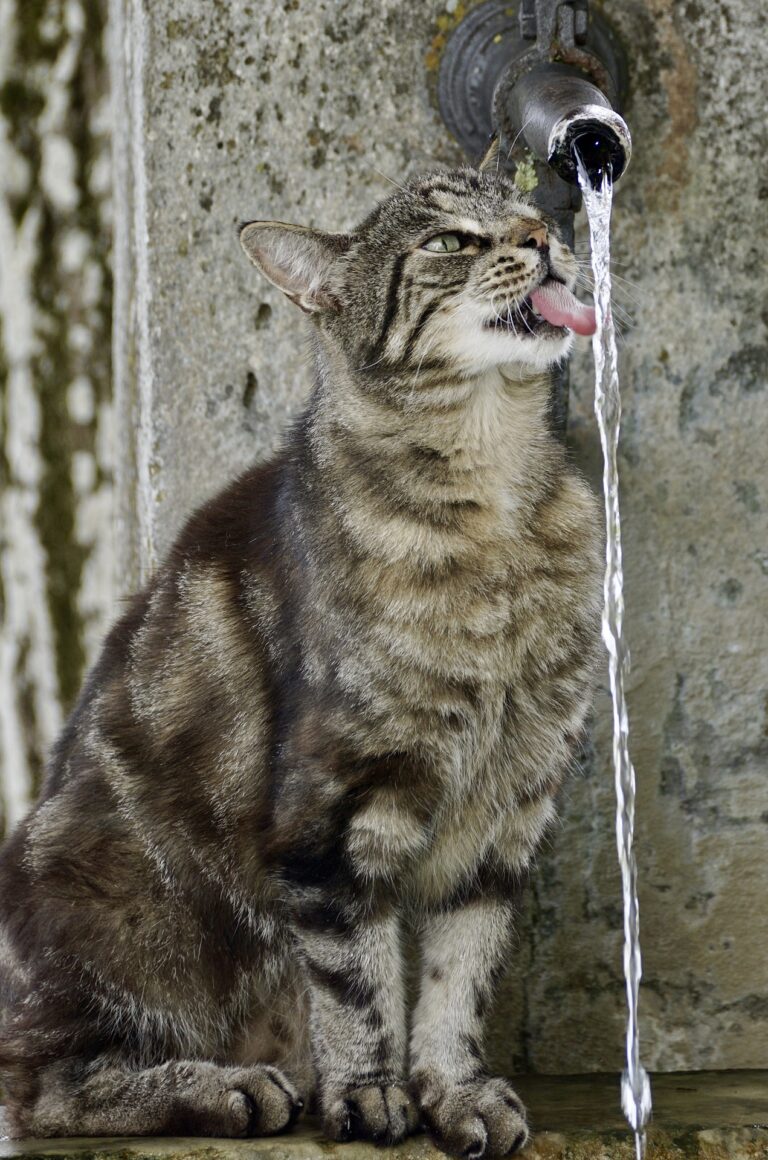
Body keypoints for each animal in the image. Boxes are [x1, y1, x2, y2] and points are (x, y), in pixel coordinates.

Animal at [0, 165, 603, 1160]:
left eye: (521, 206)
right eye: (450, 241)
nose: (544, 232)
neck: (496, 500)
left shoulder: (507, 809)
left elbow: (459, 978)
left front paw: (456, 1092)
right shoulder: (331, 811)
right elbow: (359, 983)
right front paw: (367, 1096)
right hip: (118, 911)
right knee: (41, 1084)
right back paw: (230, 1088)